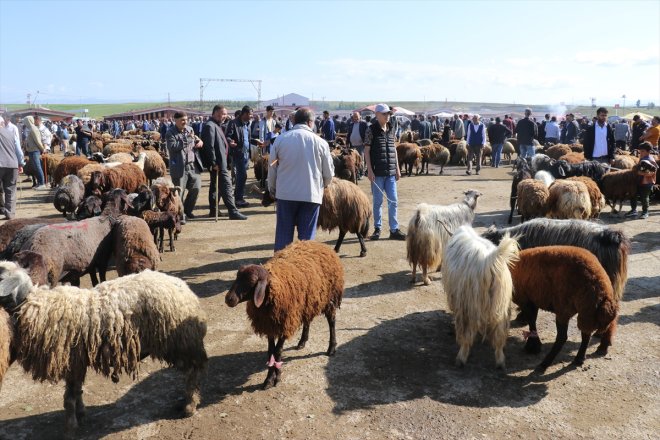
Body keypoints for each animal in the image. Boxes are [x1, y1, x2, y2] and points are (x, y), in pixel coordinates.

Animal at [0, 262, 208, 434]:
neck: (35, 304)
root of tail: (187, 291)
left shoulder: (72, 361)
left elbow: (69, 397)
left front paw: (71, 426)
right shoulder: (77, 362)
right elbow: (76, 391)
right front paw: (81, 415)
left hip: (179, 342)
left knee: (193, 372)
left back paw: (190, 405)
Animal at [224, 241, 342, 388]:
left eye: (251, 282)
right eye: (237, 277)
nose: (228, 299)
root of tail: (321, 244)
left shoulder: (285, 323)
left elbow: (278, 351)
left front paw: (277, 377)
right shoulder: (269, 324)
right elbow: (270, 351)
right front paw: (269, 379)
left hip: (330, 298)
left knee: (332, 322)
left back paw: (331, 348)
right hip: (307, 302)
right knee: (307, 320)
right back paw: (302, 341)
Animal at [440, 227, 520, 368]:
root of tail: (491, 260)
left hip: (470, 304)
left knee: (467, 333)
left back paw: (461, 358)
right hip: (502, 304)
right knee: (499, 334)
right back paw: (500, 361)